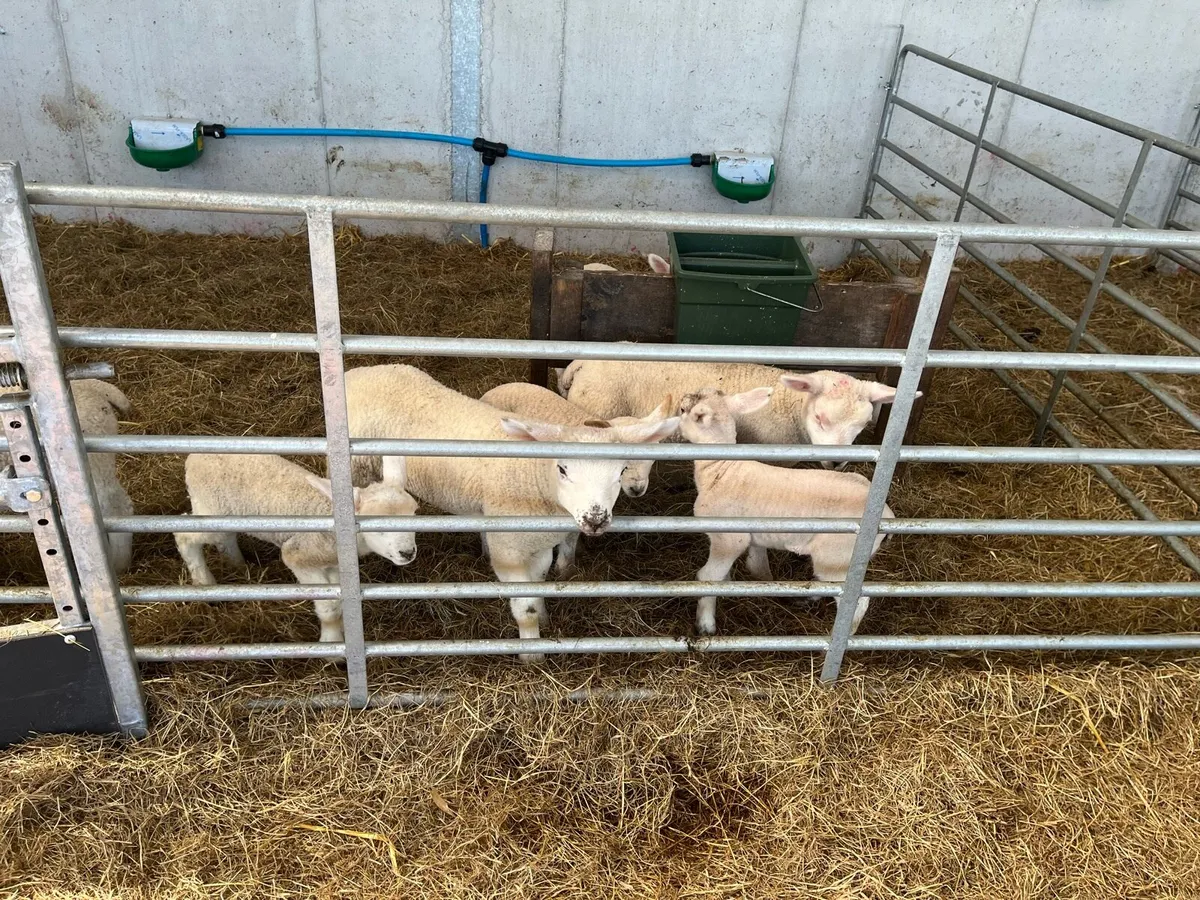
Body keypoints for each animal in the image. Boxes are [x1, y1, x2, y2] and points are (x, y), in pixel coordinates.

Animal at [174, 453, 418, 642]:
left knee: (225, 539)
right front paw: (332, 646)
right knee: (184, 536)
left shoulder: (331, 564)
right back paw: (205, 583)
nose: (407, 553)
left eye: (414, 514)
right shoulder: (299, 557)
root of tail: (193, 457)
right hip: (210, 510)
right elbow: (329, 609)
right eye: (376, 529)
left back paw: (237, 565)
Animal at [344, 364, 678, 660]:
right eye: (562, 469)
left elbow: (539, 583)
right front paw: (532, 655)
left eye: (620, 470)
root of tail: (358, 372)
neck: (533, 476)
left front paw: (544, 620)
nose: (595, 519)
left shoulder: (538, 546)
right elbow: (525, 607)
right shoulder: (509, 549)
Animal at [678, 387, 892, 637]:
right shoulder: (753, 538)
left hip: (837, 558)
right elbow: (753, 567)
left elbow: (708, 578)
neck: (722, 468)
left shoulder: (728, 539)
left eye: (682, 410)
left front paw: (705, 625)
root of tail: (887, 515)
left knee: (858, 602)